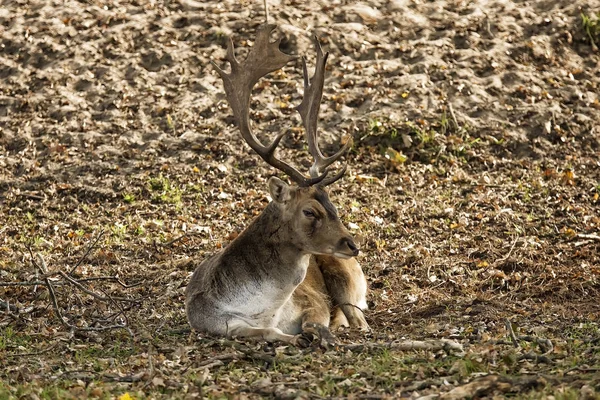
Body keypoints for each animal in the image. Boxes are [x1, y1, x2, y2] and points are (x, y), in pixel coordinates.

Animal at [185, 23, 368, 346]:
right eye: (309, 211)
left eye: (333, 203)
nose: (352, 244)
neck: (265, 310)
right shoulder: (213, 322)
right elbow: (264, 332)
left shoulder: (312, 300)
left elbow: (314, 321)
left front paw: (321, 333)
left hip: (346, 277)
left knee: (360, 319)